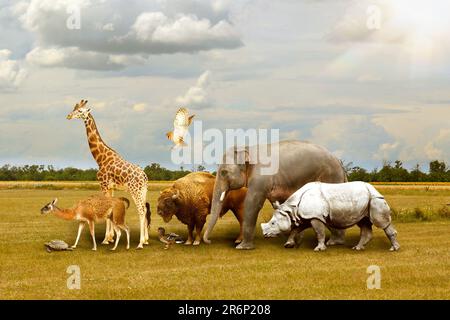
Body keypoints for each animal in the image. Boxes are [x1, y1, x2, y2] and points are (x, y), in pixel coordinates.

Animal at [67, 100, 150, 250]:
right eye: (74, 109)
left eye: (80, 111)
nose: (69, 116)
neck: (100, 158)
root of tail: (144, 177)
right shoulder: (111, 187)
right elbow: (109, 208)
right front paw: (111, 238)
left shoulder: (104, 184)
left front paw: (106, 239)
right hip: (143, 190)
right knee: (145, 209)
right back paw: (146, 240)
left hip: (134, 190)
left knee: (141, 210)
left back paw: (140, 243)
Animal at [204, 139, 348, 249]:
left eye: (223, 172)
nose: (208, 241)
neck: (248, 148)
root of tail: (339, 163)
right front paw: (293, 242)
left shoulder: (261, 177)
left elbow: (252, 203)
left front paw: (242, 247)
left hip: (331, 176)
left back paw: (334, 242)